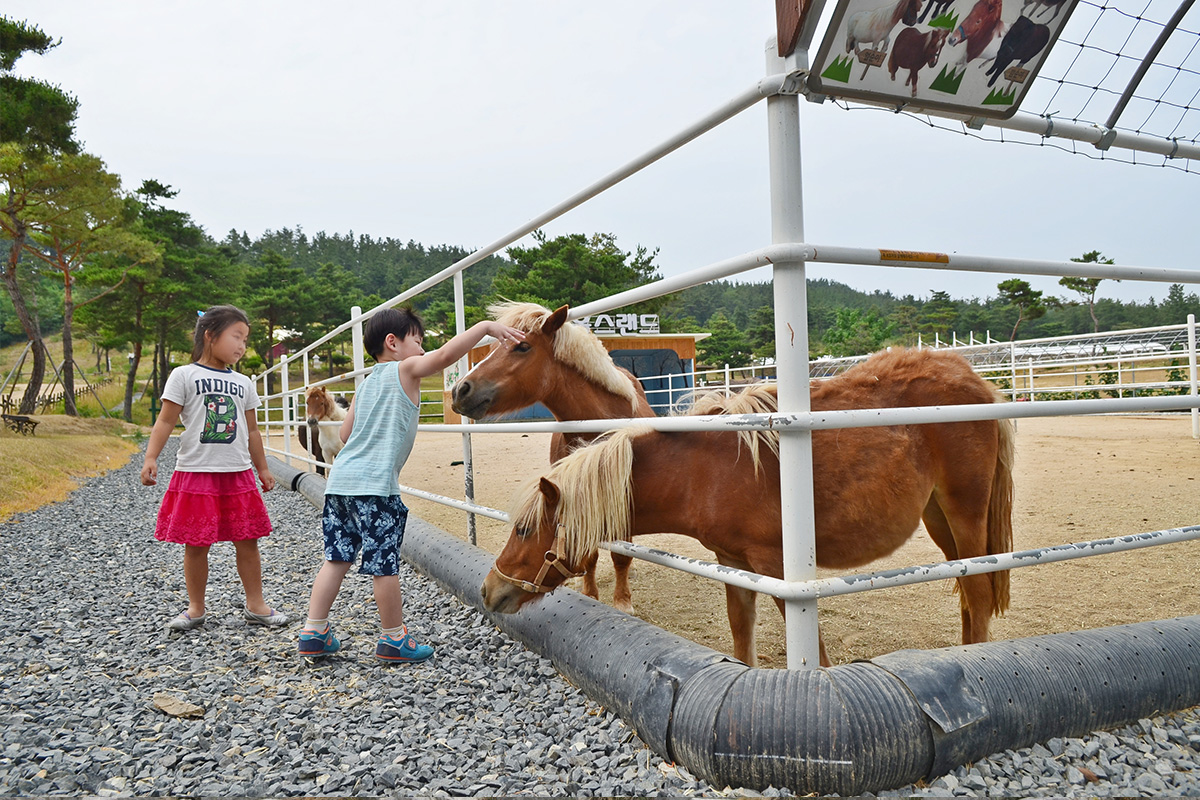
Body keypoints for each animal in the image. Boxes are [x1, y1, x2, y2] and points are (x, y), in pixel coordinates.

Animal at [451, 302, 657, 614]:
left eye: (523, 346)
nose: (460, 390)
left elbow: (621, 557)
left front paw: (622, 602)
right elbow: (589, 554)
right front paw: (590, 593)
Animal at [477, 347, 1012, 666]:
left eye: (524, 530)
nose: (489, 590)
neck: (706, 468)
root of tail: (975, 380)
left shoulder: (777, 570)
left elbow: (814, 654)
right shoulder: (732, 562)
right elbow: (741, 634)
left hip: (965, 511)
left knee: (979, 591)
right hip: (938, 519)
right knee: (969, 594)